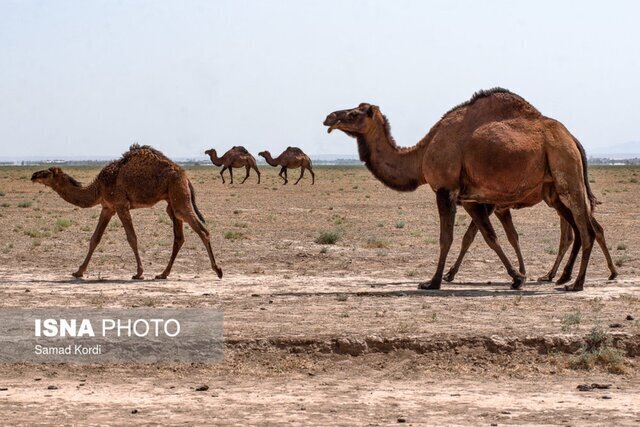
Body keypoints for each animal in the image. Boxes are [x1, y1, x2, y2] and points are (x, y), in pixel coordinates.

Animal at [31, 145, 224, 282]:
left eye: (47, 173)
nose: (33, 175)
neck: (98, 187)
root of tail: (185, 176)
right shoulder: (108, 207)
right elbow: (95, 239)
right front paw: (78, 271)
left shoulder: (121, 205)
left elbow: (132, 238)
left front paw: (139, 273)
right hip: (172, 201)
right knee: (179, 237)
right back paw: (163, 274)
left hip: (178, 194)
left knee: (202, 230)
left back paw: (218, 270)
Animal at [324, 88, 604, 292]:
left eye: (353, 114)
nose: (329, 117)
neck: (421, 155)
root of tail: (573, 139)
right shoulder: (470, 198)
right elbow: (488, 237)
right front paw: (517, 277)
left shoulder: (445, 189)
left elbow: (446, 238)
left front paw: (432, 281)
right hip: (556, 183)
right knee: (579, 229)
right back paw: (566, 278)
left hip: (566, 171)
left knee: (586, 229)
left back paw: (576, 284)